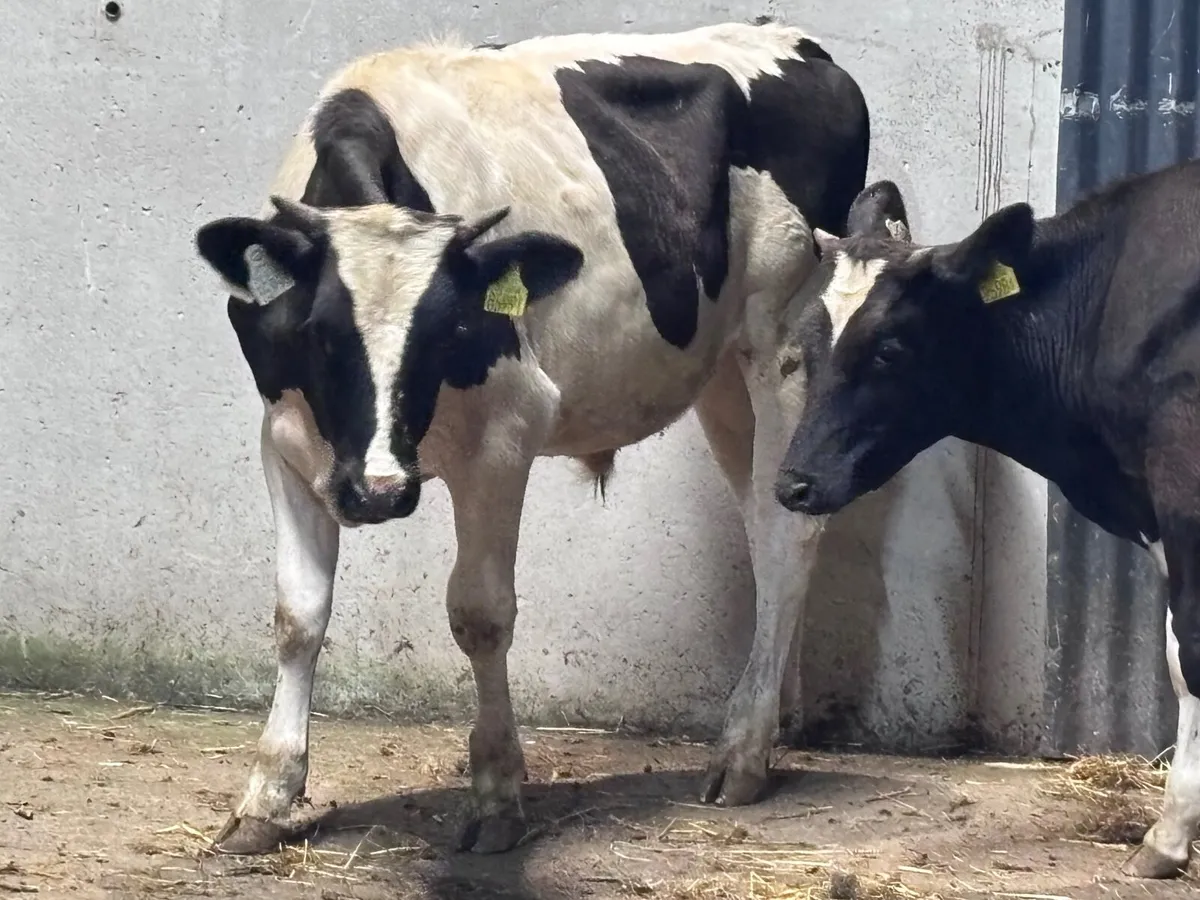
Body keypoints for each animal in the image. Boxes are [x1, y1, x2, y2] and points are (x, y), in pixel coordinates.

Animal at [192, 21, 870, 855]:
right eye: (320, 333)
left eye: (449, 329)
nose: (378, 491)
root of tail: (786, 36)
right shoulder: (288, 441)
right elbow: (299, 615)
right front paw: (267, 796)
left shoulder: (504, 437)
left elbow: (480, 615)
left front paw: (496, 797)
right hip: (719, 376)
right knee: (759, 526)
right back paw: (770, 727)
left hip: (782, 342)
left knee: (786, 531)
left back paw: (742, 753)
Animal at [773, 163, 1200, 878]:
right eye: (805, 340)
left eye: (889, 349)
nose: (793, 483)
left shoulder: (1181, 486)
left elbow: (1188, 655)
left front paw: (1167, 838)